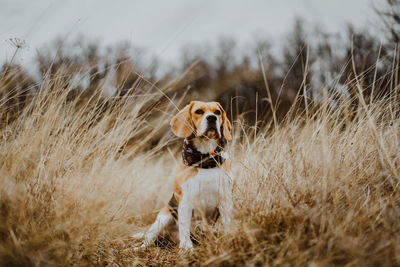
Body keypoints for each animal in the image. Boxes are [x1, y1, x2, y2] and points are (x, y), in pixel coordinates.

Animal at [133, 100, 233, 251]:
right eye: (199, 111)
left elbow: (227, 224)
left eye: (217, 112)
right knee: (149, 238)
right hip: (163, 218)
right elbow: (185, 227)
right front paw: (187, 249)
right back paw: (141, 248)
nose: (212, 118)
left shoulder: (225, 200)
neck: (205, 160)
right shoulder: (186, 202)